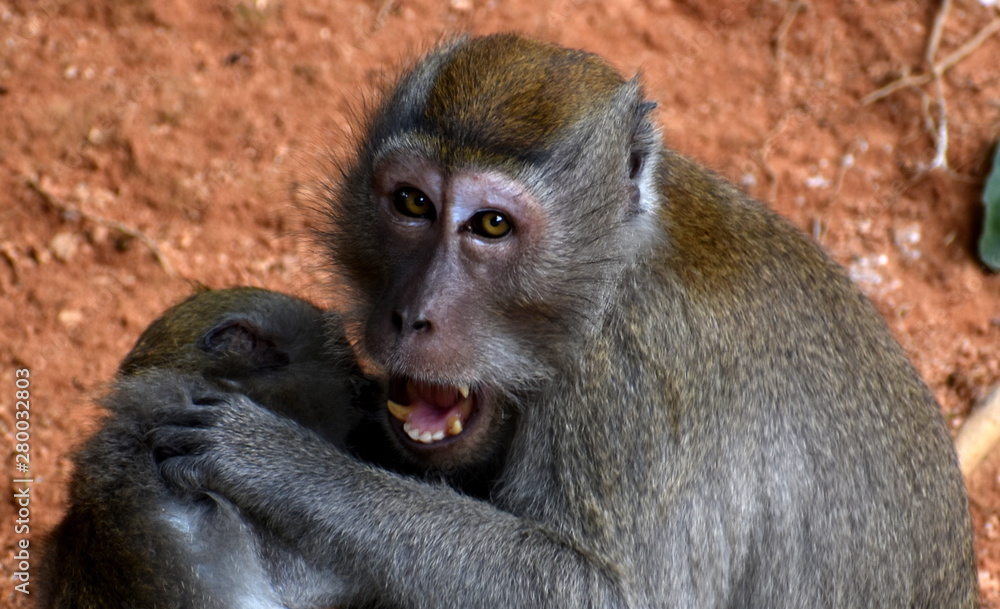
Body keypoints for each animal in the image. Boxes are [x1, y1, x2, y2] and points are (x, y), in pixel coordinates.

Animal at [145, 35, 972, 608]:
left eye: (490, 225)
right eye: (412, 203)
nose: (411, 314)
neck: (605, 280)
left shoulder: (632, 383)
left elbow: (595, 590)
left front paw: (276, 462)